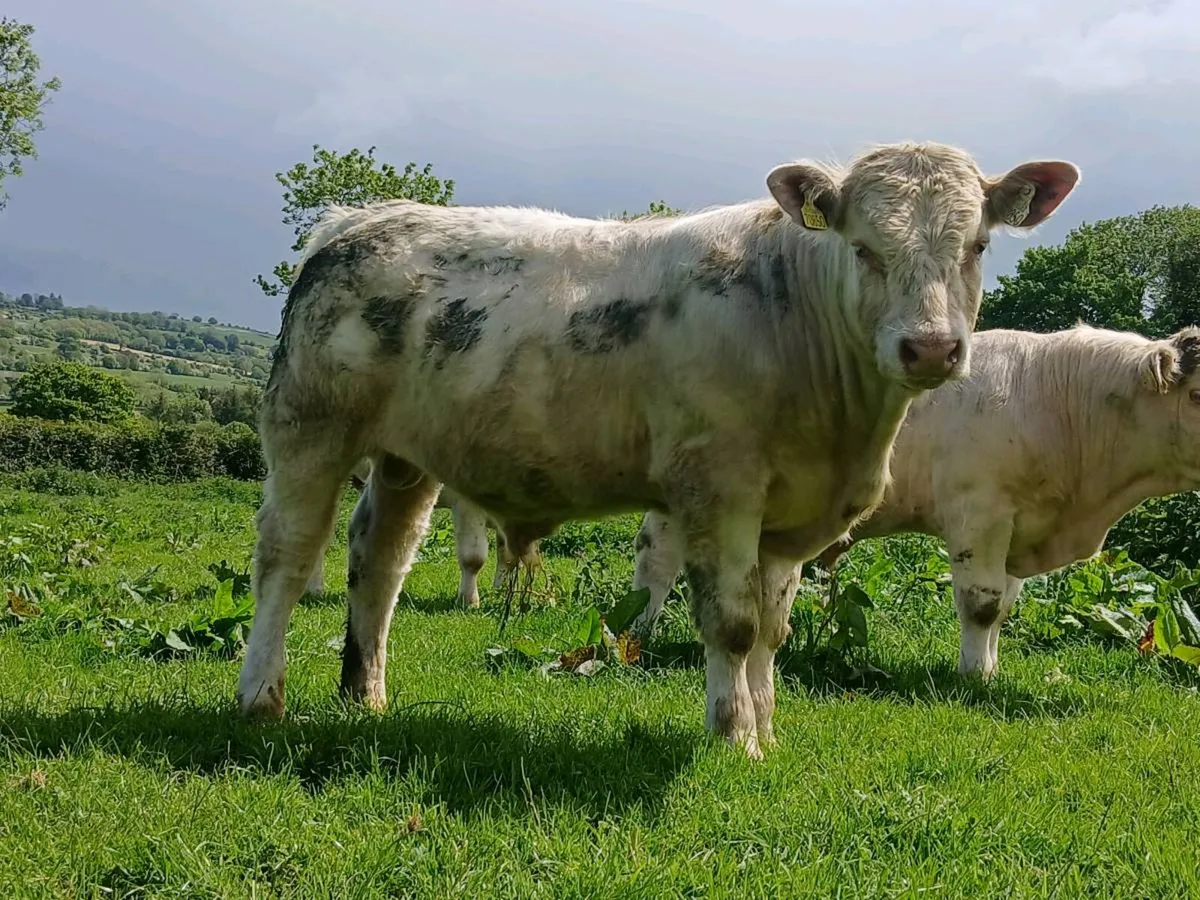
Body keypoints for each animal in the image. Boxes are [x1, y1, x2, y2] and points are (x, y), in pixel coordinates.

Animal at [236, 140, 1079, 758]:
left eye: (977, 246)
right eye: (864, 248)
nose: (931, 348)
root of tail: (359, 222)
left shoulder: (789, 518)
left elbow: (772, 629)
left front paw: (766, 732)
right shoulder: (718, 487)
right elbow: (732, 624)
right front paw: (732, 737)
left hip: (405, 457)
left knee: (378, 562)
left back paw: (366, 696)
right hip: (309, 427)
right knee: (286, 558)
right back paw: (260, 698)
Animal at [629, 324, 1200, 680]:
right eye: (1196, 395)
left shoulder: (1021, 530)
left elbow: (1005, 607)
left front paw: (992, 667)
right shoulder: (979, 513)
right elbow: (982, 603)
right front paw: (974, 676)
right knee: (657, 559)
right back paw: (637, 633)